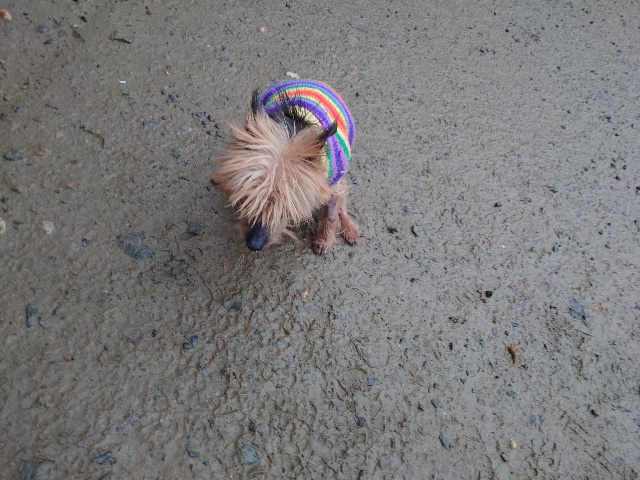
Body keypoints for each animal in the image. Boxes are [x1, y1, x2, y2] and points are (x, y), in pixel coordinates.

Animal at [212, 79, 359, 254]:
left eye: (286, 211)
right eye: (246, 198)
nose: (254, 245)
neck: (291, 133)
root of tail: (317, 82)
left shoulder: (333, 179)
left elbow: (332, 210)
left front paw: (325, 238)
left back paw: (350, 228)